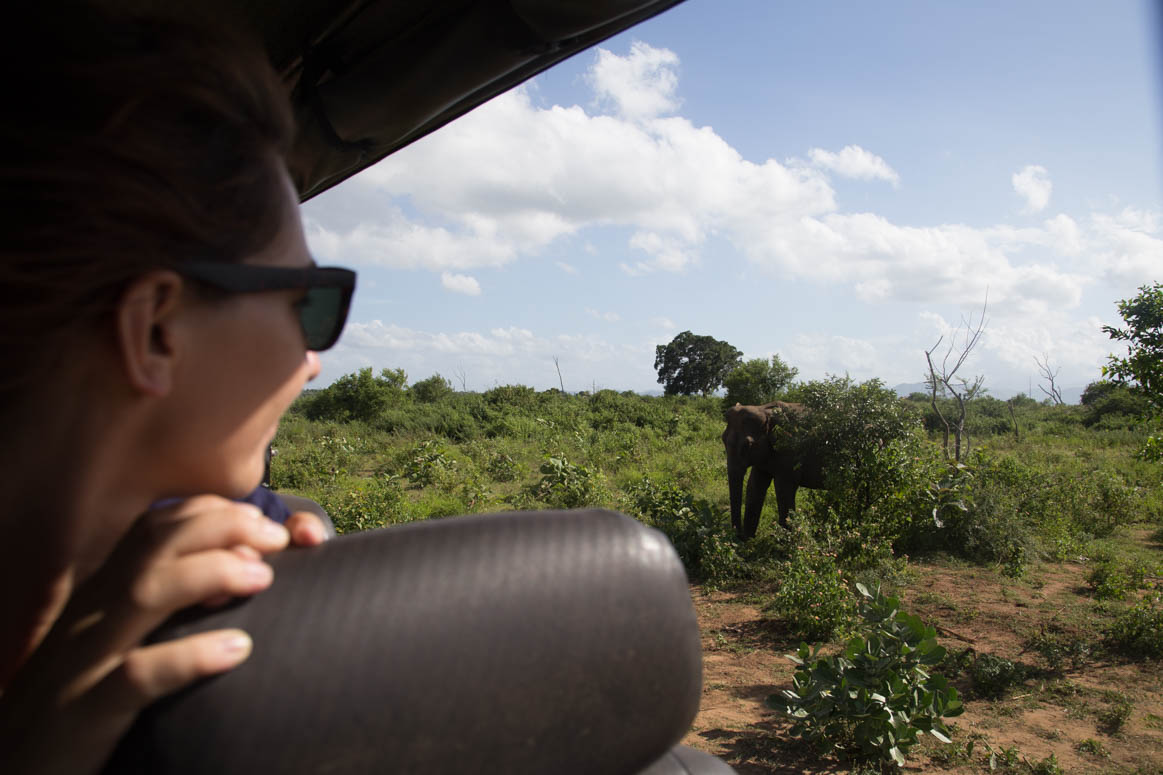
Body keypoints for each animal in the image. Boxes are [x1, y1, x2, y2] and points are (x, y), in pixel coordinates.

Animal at [716, 400, 828, 539]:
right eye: (723, 439)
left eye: (748, 445)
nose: (738, 536)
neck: (765, 410)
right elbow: (755, 485)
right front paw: (748, 540)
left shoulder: (790, 450)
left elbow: (784, 490)